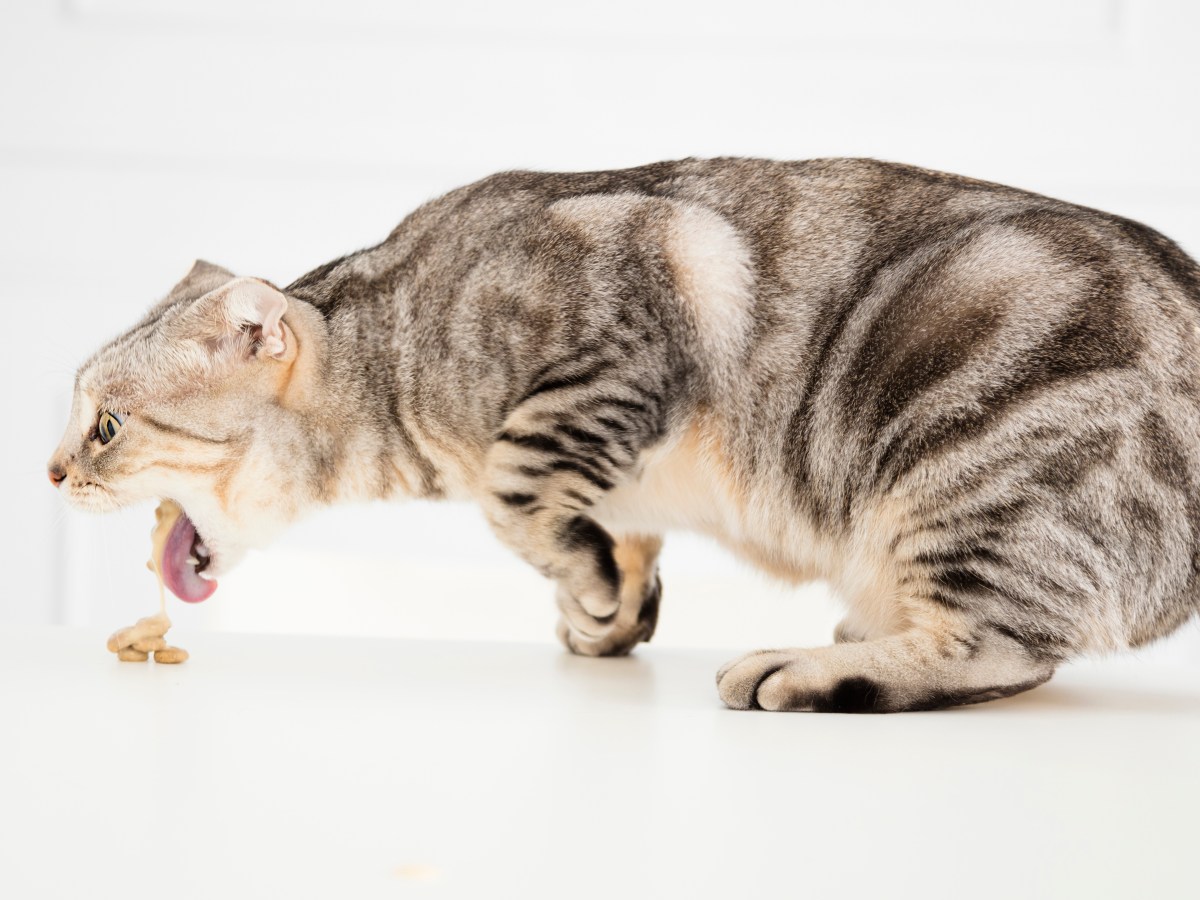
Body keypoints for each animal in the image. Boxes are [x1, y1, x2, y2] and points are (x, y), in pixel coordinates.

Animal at [51, 160, 1200, 710]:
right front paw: (606, 608)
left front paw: (594, 588)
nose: (52, 471)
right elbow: (608, 529)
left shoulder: (618, 341)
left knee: (1002, 650)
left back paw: (804, 668)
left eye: (103, 424)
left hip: (969, 455)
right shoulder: (618, 459)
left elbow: (517, 492)